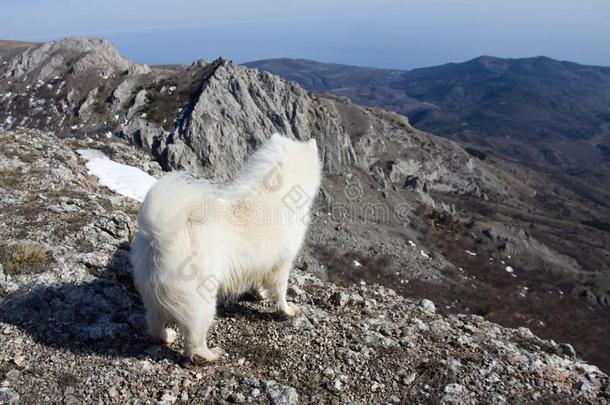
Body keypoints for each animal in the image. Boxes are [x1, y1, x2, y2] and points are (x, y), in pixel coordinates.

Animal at [127, 134, 318, 362]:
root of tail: (160, 234)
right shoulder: (283, 263)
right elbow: (280, 292)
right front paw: (288, 311)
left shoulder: (262, 262)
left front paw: (260, 294)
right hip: (202, 302)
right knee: (193, 340)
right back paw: (210, 355)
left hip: (153, 295)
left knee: (155, 324)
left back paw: (167, 336)